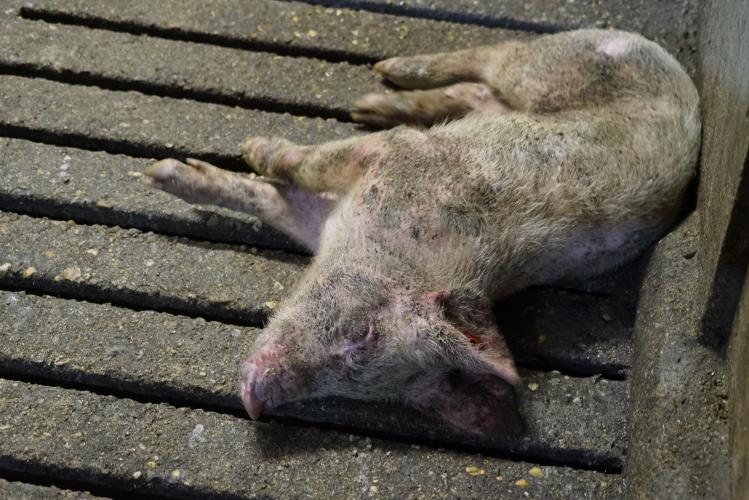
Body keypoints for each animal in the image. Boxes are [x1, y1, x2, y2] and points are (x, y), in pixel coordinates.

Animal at [144, 29, 700, 434]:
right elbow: (299, 168)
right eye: (362, 333)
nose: (255, 402)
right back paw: (380, 83)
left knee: (478, 89)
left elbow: (276, 198)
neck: (404, 252)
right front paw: (178, 169)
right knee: (493, 56)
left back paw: (374, 100)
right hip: (547, 69)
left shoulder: (327, 217)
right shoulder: (397, 155)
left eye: (372, 392)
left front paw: (171, 173)